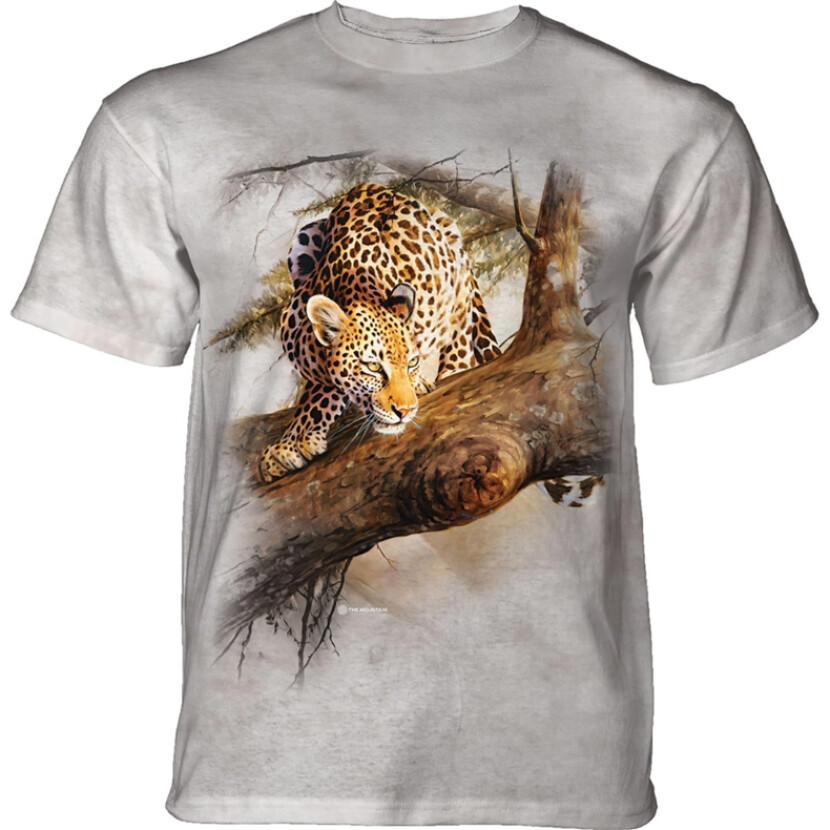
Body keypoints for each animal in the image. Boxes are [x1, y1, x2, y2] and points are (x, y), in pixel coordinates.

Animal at [257, 181, 502, 483]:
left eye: (412, 362)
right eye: (373, 366)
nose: (405, 411)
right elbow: (320, 391)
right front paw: (291, 442)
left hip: (451, 242)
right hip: (304, 238)